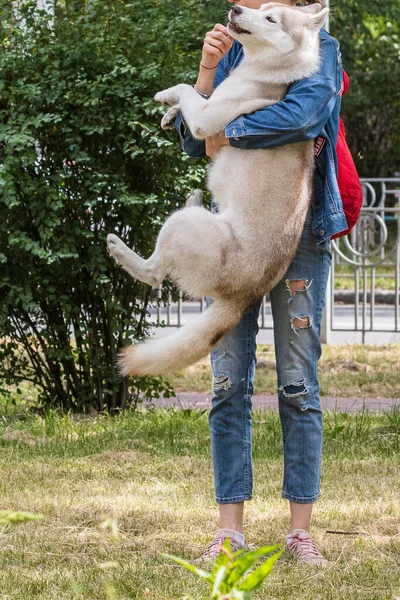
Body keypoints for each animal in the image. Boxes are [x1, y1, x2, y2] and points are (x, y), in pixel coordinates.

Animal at [106, 2, 328, 376]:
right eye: (262, 8)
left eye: (271, 18)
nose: (235, 8)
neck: (264, 71)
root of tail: (246, 296)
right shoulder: (205, 105)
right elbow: (196, 93)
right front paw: (170, 114)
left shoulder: (206, 119)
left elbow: (186, 89)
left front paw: (165, 95)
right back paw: (192, 196)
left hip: (185, 227)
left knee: (153, 275)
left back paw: (120, 248)